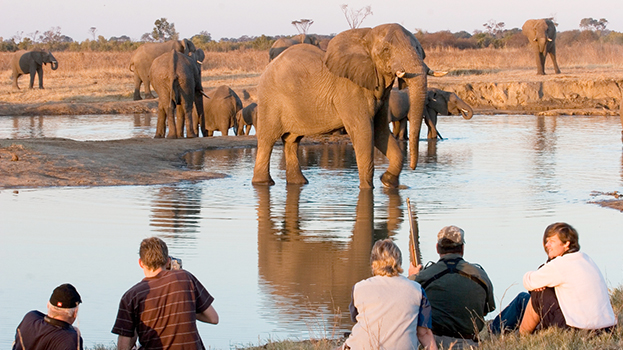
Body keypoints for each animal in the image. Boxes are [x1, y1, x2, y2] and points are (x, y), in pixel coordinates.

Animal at [252, 23, 428, 189]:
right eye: (386, 50)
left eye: (419, 49)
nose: (413, 168)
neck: (366, 36)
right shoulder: (349, 90)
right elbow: (364, 132)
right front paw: (367, 189)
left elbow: (381, 131)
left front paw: (388, 182)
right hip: (270, 99)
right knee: (267, 140)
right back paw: (263, 183)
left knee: (292, 141)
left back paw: (299, 183)